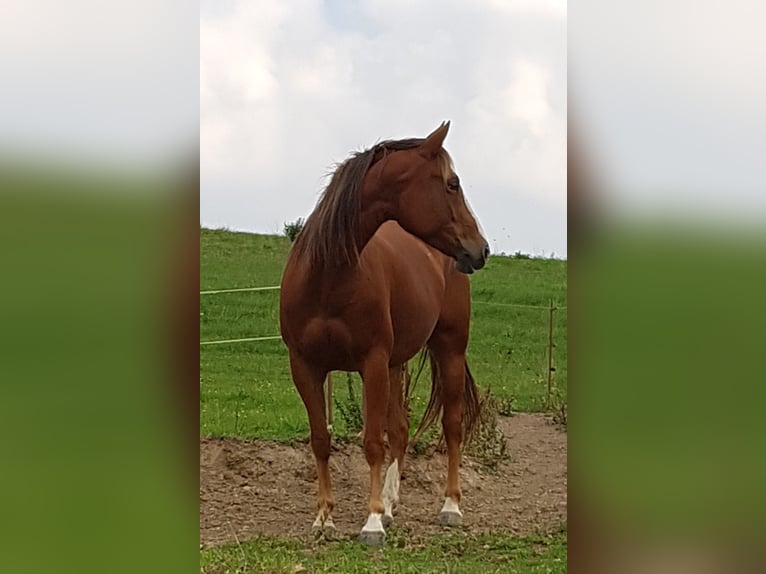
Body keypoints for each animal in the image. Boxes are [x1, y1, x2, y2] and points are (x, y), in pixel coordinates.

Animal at [282, 124, 492, 548]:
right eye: (452, 184)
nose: (481, 249)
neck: (327, 277)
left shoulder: (372, 364)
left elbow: (372, 443)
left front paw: (372, 522)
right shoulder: (306, 367)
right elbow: (321, 439)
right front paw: (324, 519)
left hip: (449, 349)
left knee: (452, 426)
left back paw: (450, 506)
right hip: (398, 364)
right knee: (400, 430)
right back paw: (393, 505)